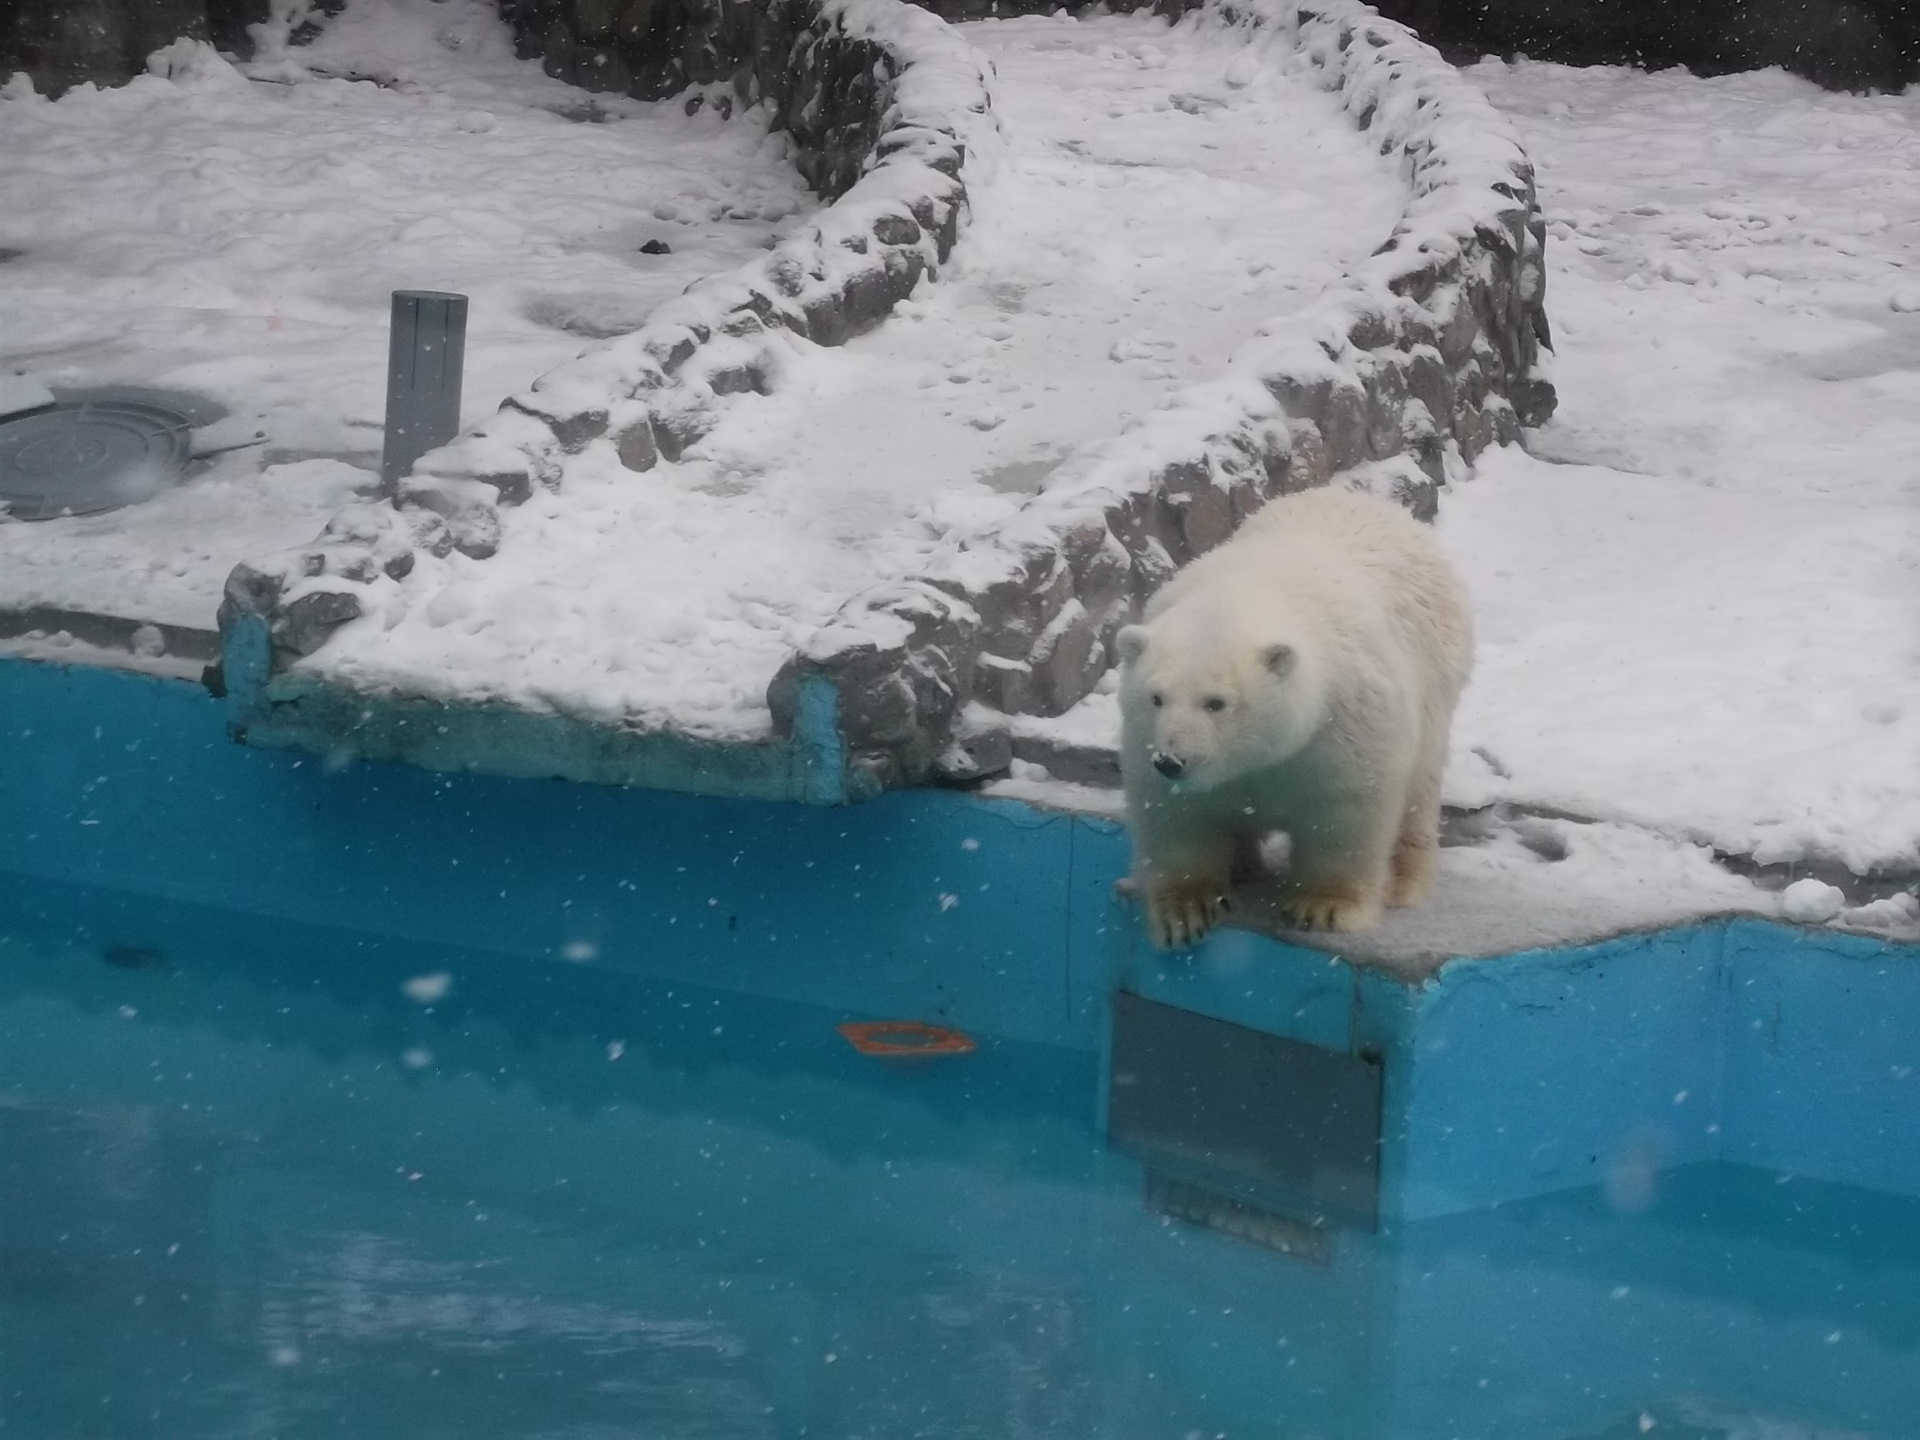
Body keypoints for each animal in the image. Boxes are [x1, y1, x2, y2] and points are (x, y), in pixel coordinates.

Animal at [1113, 491, 1466, 952]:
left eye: (1216, 703)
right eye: (1155, 698)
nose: (1172, 760)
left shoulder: (1344, 722)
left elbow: (1346, 812)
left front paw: (1324, 907)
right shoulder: (1146, 739)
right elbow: (1176, 813)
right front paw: (1186, 911)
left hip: (1436, 681)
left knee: (1419, 790)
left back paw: (1405, 882)